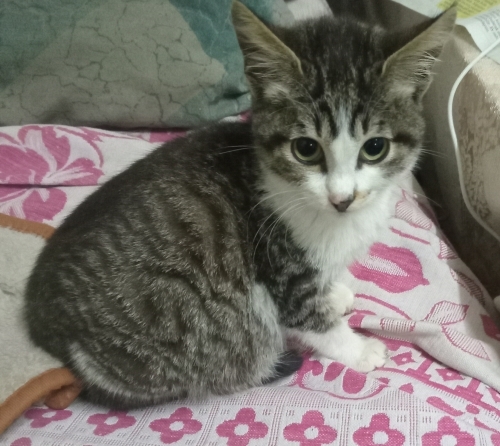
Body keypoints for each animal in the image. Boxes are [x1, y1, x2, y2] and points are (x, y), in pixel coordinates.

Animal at [24, 1, 455, 409]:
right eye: (306, 148)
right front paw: (358, 349)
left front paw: (335, 291)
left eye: (375, 147)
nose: (342, 198)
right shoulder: (279, 263)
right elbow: (308, 316)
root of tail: (49, 332)